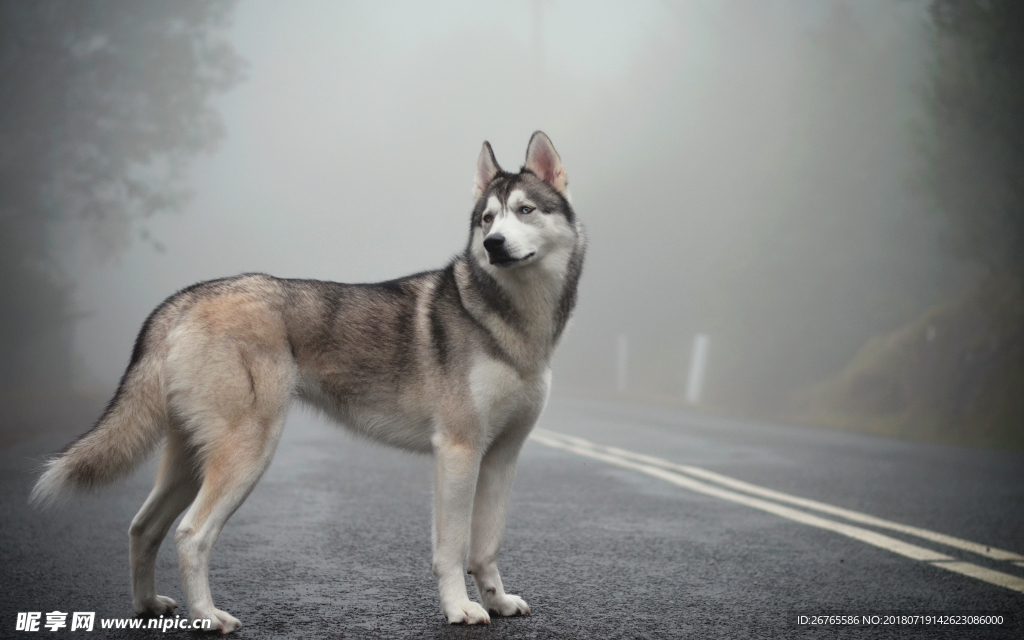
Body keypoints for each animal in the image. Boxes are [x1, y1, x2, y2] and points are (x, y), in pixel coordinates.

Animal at [29, 132, 585, 630]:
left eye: (525, 211)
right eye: (488, 219)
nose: (493, 245)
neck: (512, 322)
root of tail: (186, 298)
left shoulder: (501, 457)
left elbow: (486, 546)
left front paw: (498, 602)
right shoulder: (458, 451)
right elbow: (451, 549)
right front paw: (460, 609)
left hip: (189, 463)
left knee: (143, 527)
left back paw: (147, 607)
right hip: (247, 454)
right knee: (190, 534)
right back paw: (207, 616)